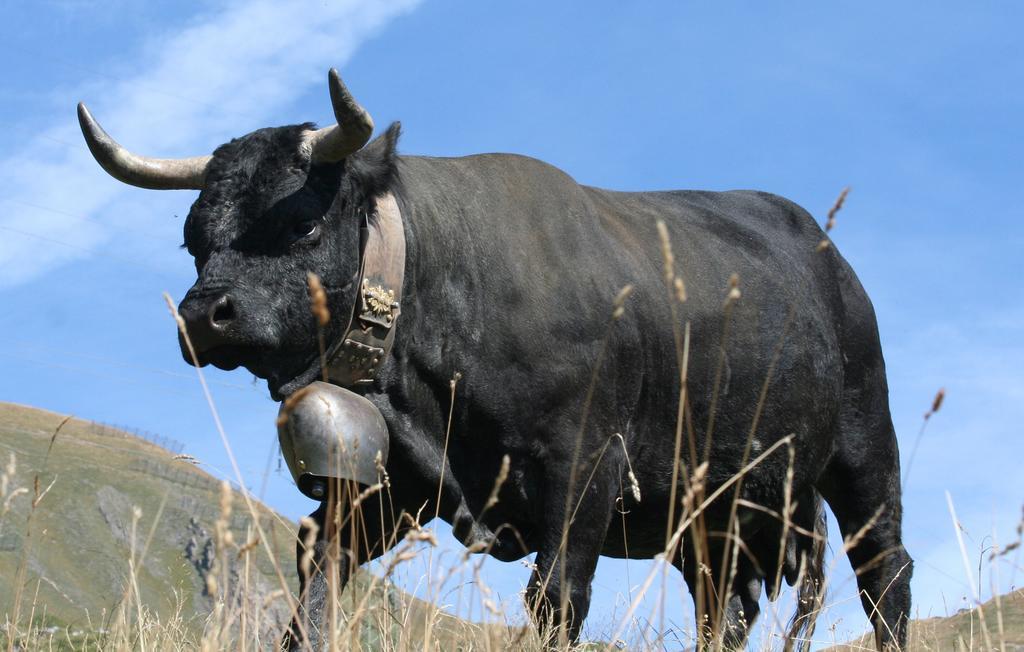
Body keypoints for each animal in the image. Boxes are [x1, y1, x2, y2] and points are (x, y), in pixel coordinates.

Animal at [77, 83, 913, 646]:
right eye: (193, 238)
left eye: (303, 221)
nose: (200, 316)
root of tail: (822, 245)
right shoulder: (397, 484)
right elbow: (321, 563)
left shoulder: (587, 465)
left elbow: (558, 595)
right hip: (713, 508)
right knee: (727, 605)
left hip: (864, 448)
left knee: (886, 574)